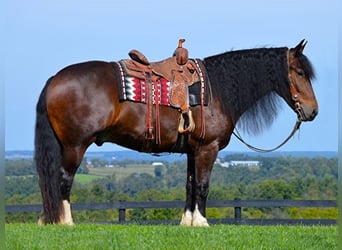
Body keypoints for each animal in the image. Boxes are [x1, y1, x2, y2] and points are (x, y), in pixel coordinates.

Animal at [34, 39, 318, 227]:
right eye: (300, 72)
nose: (313, 111)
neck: (217, 91)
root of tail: (55, 79)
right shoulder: (207, 149)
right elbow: (203, 185)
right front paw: (202, 223)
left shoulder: (193, 151)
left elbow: (190, 185)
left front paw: (187, 222)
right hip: (75, 146)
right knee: (63, 180)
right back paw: (65, 222)